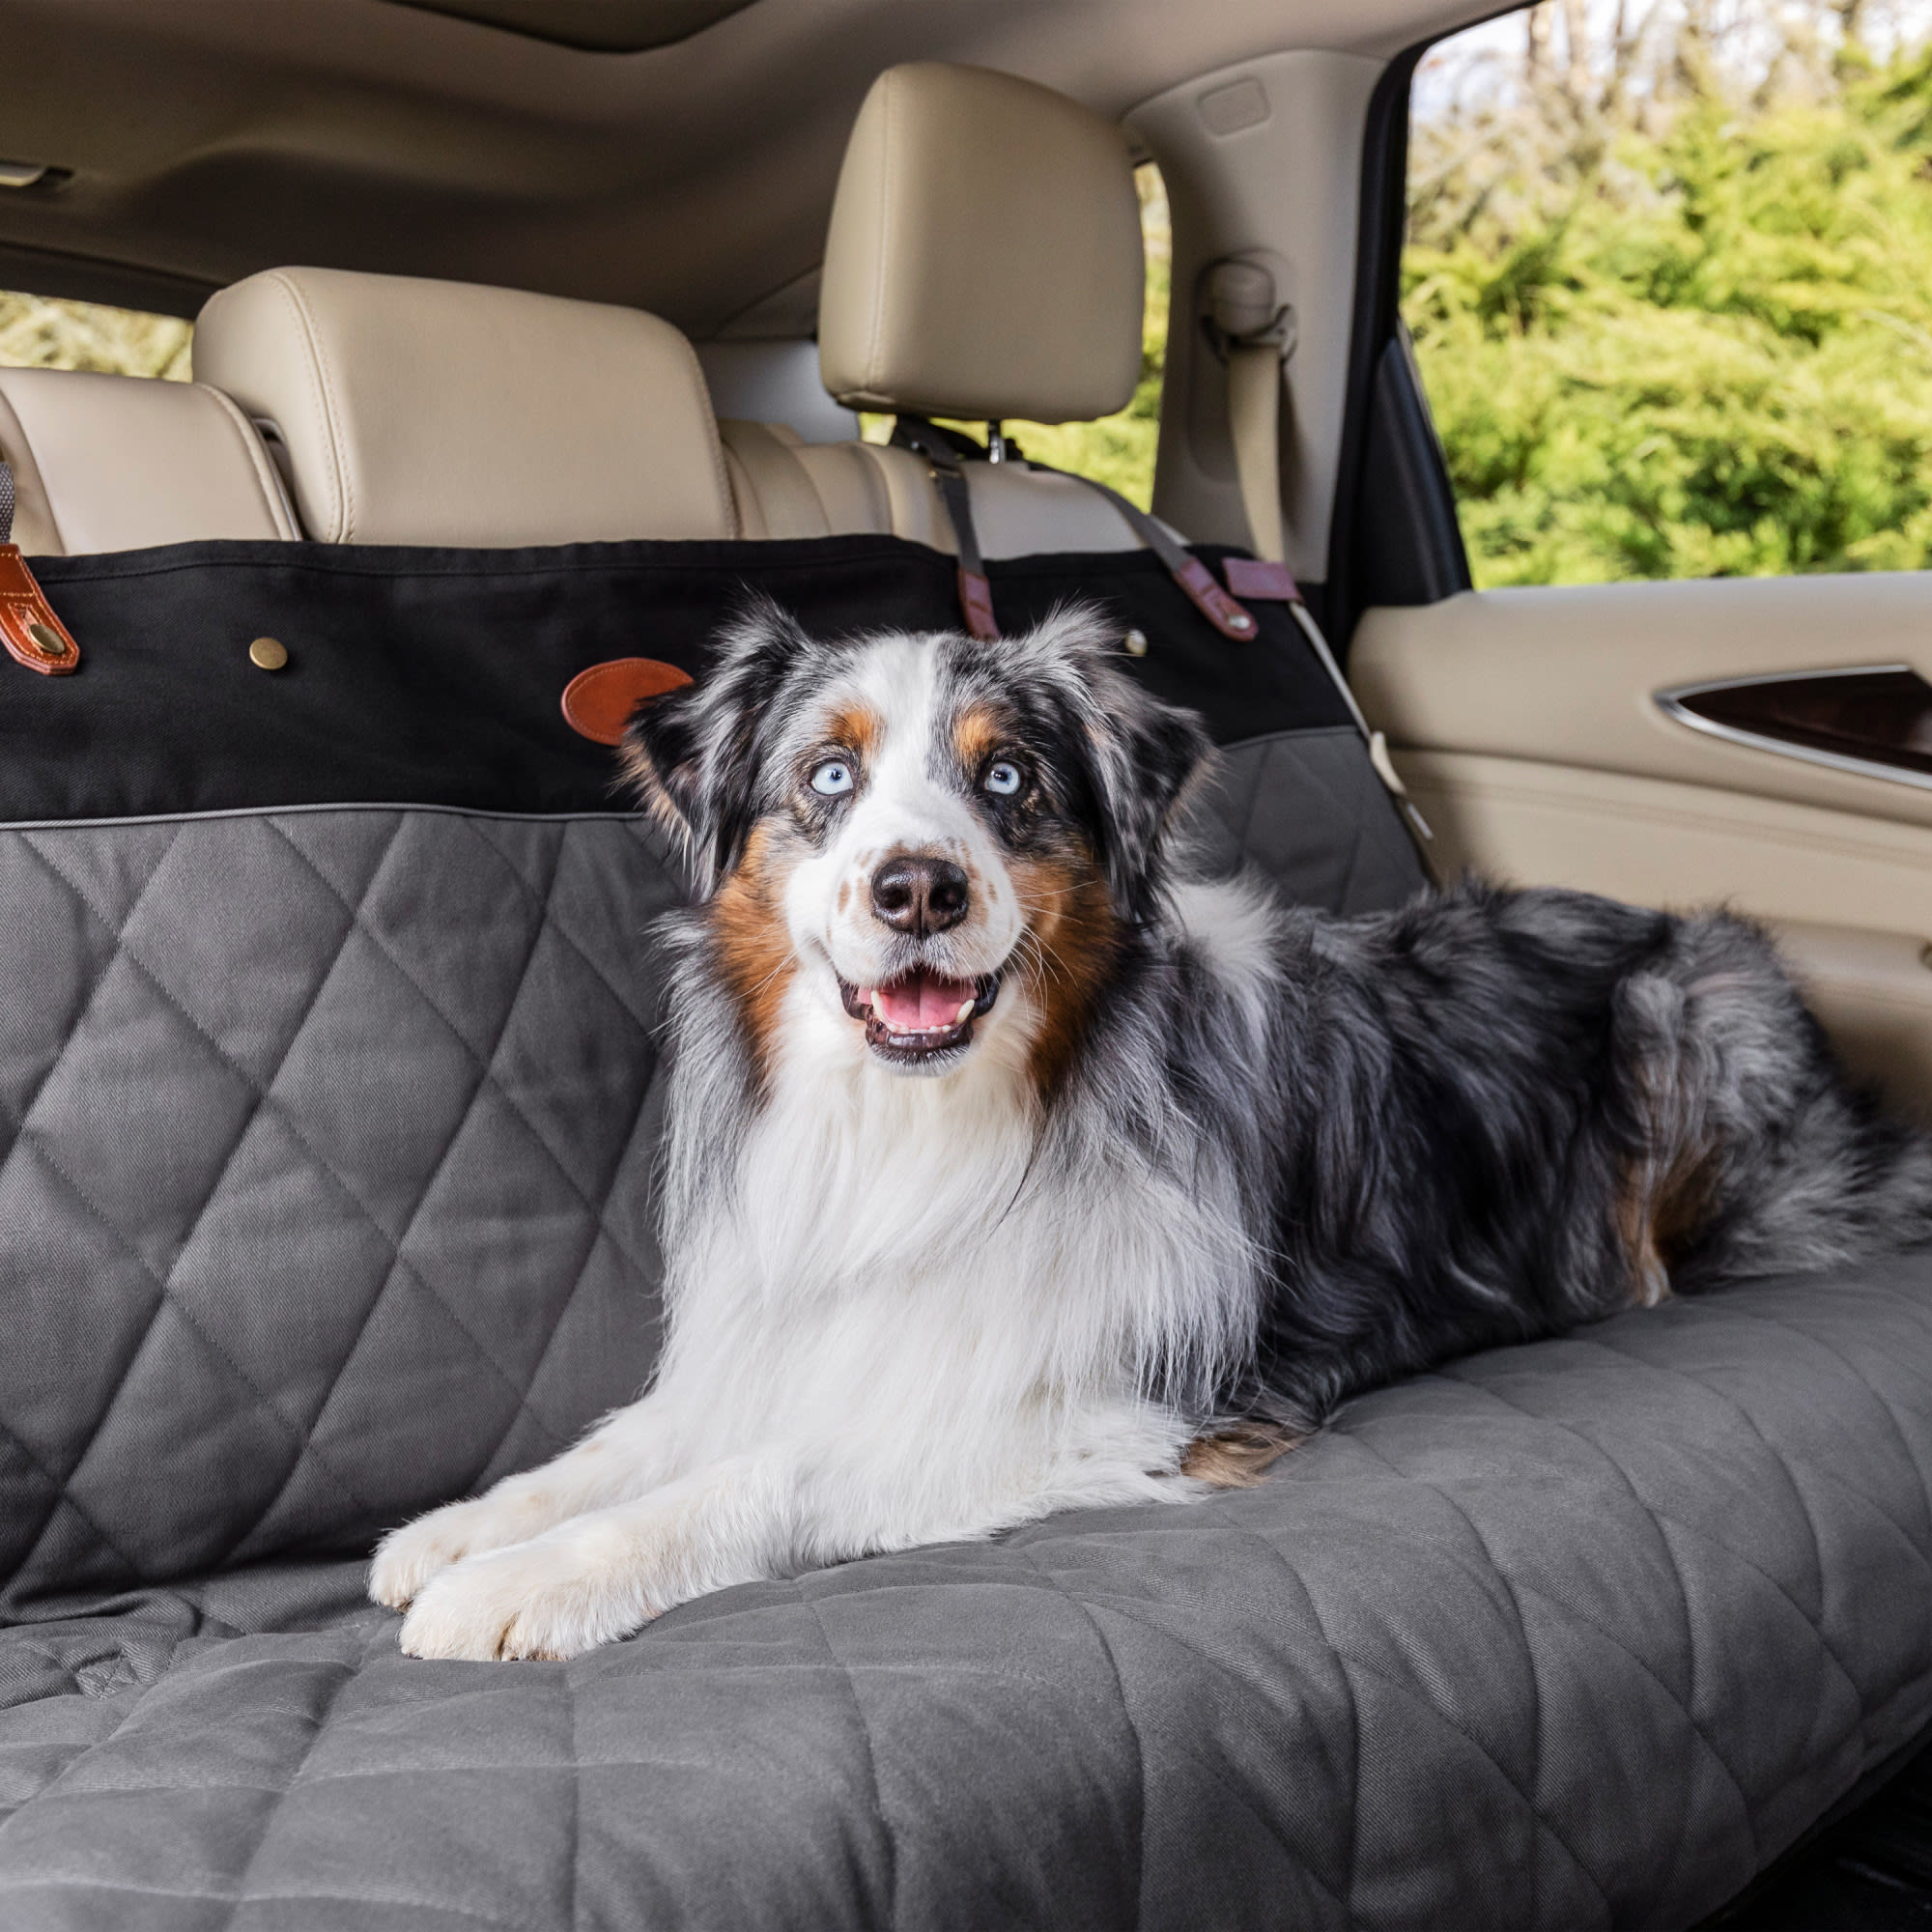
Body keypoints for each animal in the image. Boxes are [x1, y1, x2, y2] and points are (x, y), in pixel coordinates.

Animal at [373, 603, 1932, 1662]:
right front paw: (463, 1526)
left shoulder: (1123, 1403)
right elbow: (641, 1435)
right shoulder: (799, 1326)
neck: (924, 1125)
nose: (918, 887)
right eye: (827, 777)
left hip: (1690, 1005)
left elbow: (768, 1468)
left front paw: (525, 1580)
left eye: (1009, 779)